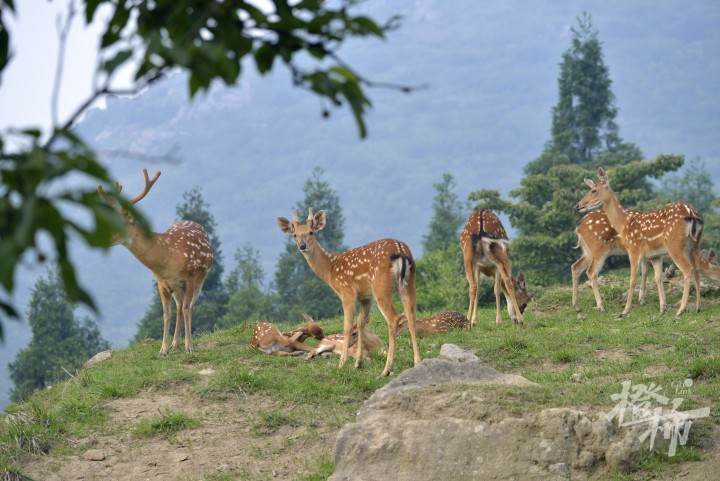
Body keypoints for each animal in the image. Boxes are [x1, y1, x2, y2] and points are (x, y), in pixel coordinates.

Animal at [98, 168, 213, 356]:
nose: (102, 238)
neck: (166, 263)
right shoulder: (161, 283)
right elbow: (166, 314)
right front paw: (163, 350)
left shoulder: (189, 278)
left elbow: (187, 308)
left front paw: (189, 347)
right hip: (177, 288)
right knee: (179, 307)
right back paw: (175, 343)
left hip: (200, 280)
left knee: (188, 306)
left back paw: (183, 343)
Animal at [276, 208, 420, 377]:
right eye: (295, 234)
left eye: (311, 232)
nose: (302, 245)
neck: (331, 270)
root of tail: (402, 253)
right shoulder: (365, 297)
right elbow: (361, 323)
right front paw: (358, 363)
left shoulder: (347, 292)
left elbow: (347, 326)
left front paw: (342, 363)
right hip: (409, 284)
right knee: (411, 315)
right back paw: (417, 362)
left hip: (381, 287)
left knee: (393, 319)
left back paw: (386, 369)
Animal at [576, 167, 704, 317]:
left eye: (593, 190)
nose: (578, 205)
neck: (624, 223)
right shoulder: (655, 254)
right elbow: (657, 278)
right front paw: (662, 308)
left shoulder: (634, 248)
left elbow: (632, 279)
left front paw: (626, 309)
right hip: (695, 244)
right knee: (697, 269)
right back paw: (697, 307)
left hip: (674, 244)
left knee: (688, 269)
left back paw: (681, 309)